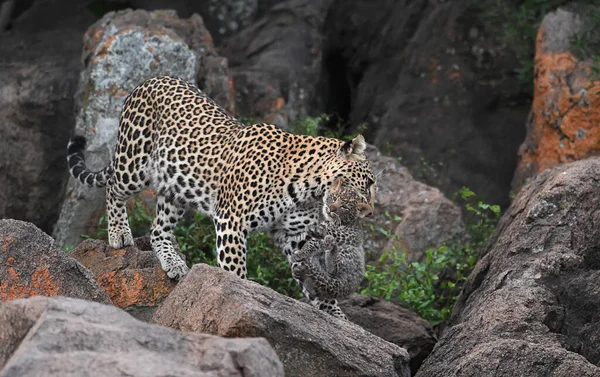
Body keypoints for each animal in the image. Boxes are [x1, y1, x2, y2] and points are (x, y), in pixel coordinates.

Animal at [65, 77, 376, 318]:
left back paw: (174, 262)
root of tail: (148, 80)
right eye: (370, 183)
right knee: (112, 187)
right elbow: (235, 271)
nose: (370, 212)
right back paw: (119, 233)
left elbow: (311, 268)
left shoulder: (294, 235)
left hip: (177, 187)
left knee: (158, 229)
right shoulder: (231, 221)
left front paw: (334, 315)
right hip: (134, 163)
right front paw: (238, 298)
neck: (308, 188)